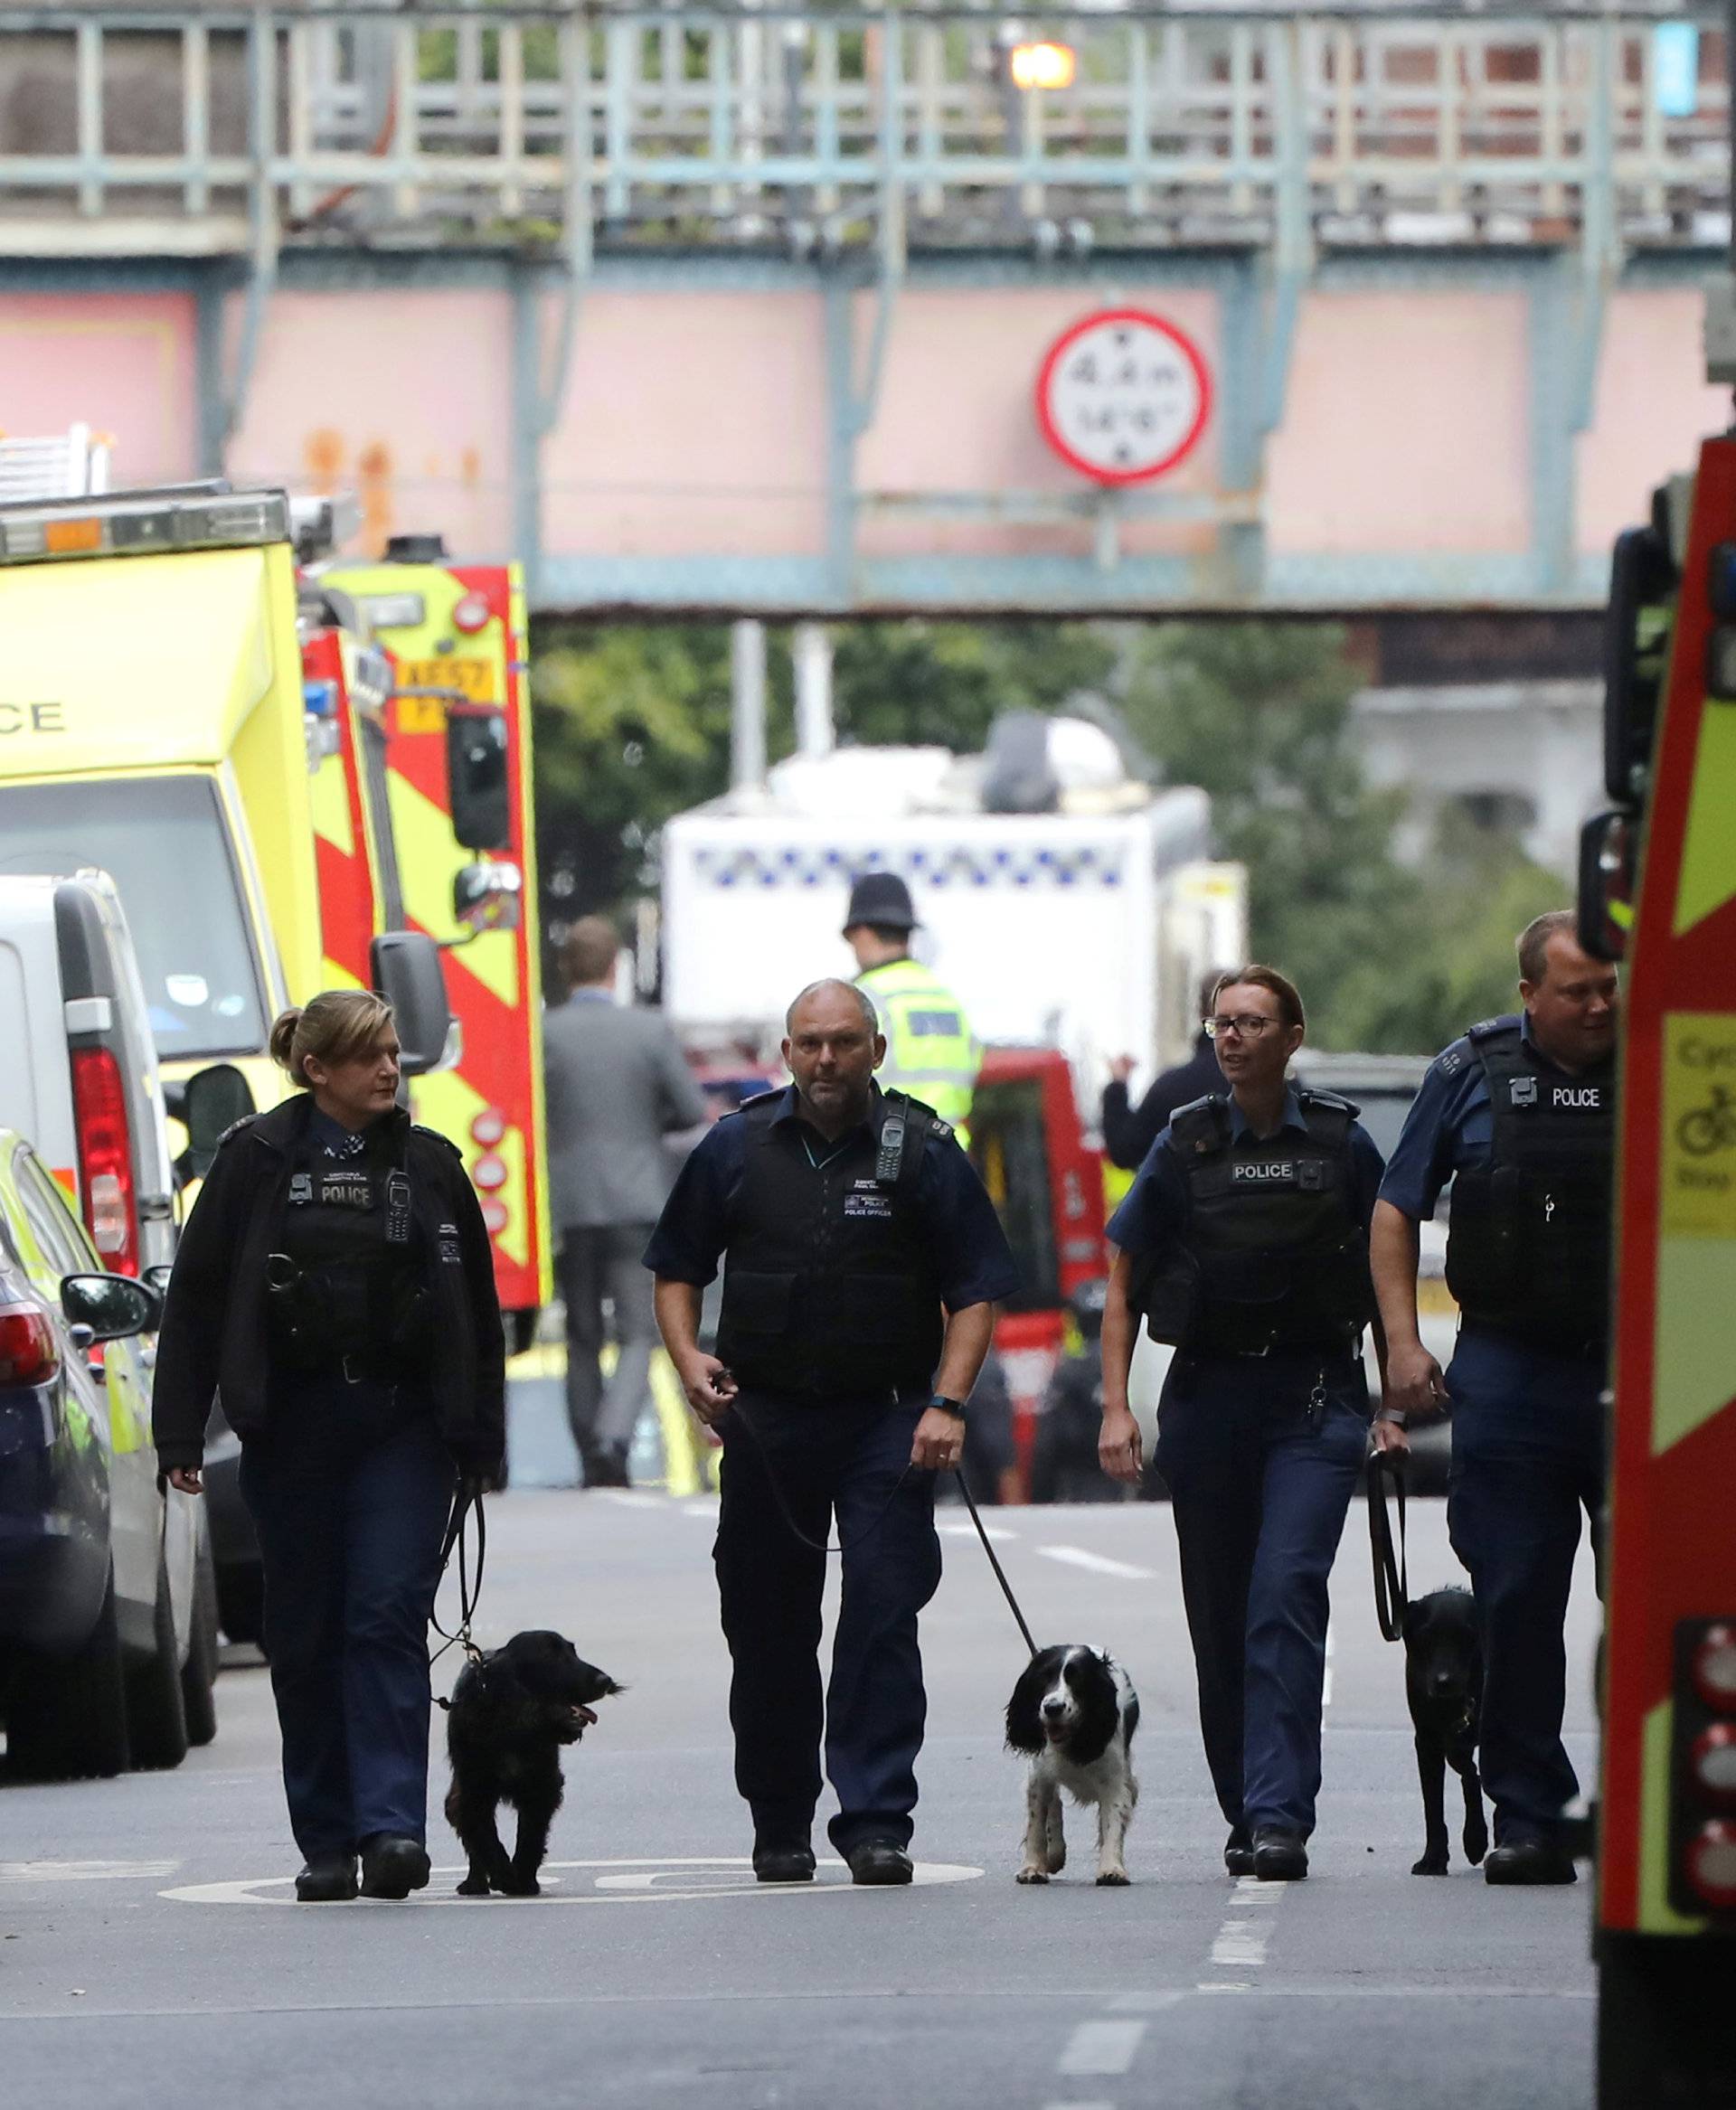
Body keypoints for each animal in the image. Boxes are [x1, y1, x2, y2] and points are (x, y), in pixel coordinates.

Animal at [440, 1620, 624, 1907]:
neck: (514, 1726)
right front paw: (504, 1875)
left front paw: (524, 1879)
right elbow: (485, 1836)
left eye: (573, 1651)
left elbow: (531, 1836)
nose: (605, 1681)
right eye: (551, 1656)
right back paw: (475, 1882)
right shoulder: (475, 1788)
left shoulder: (541, 1787)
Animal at [1004, 1637, 1138, 1890]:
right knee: (1053, 1804)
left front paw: (1112, 1869)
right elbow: (1036, 1824)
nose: (1052, 1708)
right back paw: (1055, 1854)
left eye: (1078, 1678)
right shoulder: (1040, 1774)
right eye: (1044, 1677)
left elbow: (1112, 1822)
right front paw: (1032, 1868)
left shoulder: (1115, 1780)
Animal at [1409, 1587, 1485, 1881]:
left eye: (1467, 1636)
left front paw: (1475, 1839)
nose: (1444, 1682)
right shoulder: (1426, 1741)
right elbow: (1433, 1807)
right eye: (1427, 1635)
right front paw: (1433, 1859)